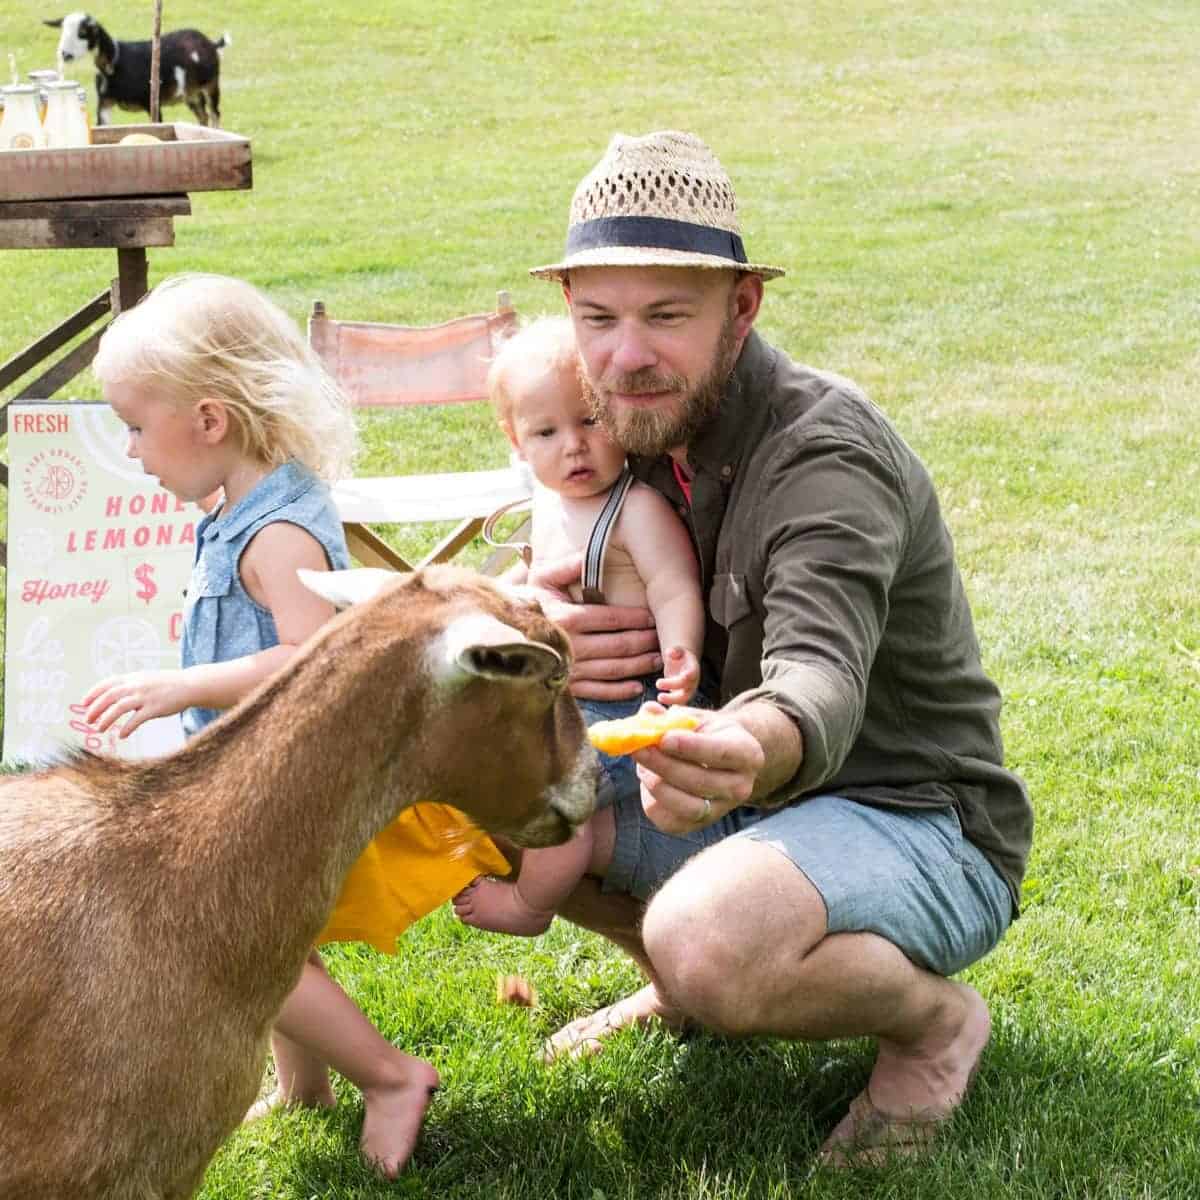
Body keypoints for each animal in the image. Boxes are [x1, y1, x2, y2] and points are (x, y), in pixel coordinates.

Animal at [45, 12, 229, 127]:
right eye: (62, 31)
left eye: (83, 32)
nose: (65, 54)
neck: (116, 62)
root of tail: (211, 43)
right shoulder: (104, 103)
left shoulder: (151, 101)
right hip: (191, 93)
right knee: (203, 116)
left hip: (211, 84)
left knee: (215, 114)